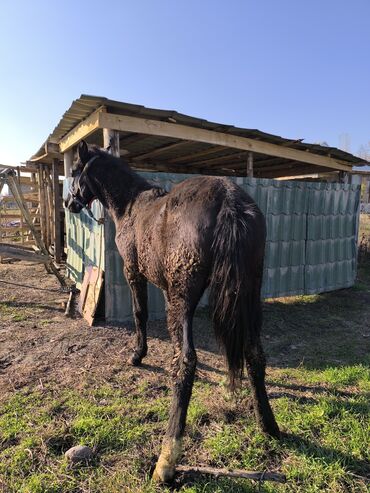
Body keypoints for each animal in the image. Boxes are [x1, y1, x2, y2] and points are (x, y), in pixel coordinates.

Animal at [65, 140, 278, 482]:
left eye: (74, 171)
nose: (70, 202)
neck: (131, 206)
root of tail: (229, 201)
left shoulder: (133, 274)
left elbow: (140, 314)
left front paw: (137, 355)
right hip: (248, 295)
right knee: (254, 354)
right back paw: (269, 426)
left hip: (184, 297)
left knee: (186, 363)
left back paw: (167, 458)